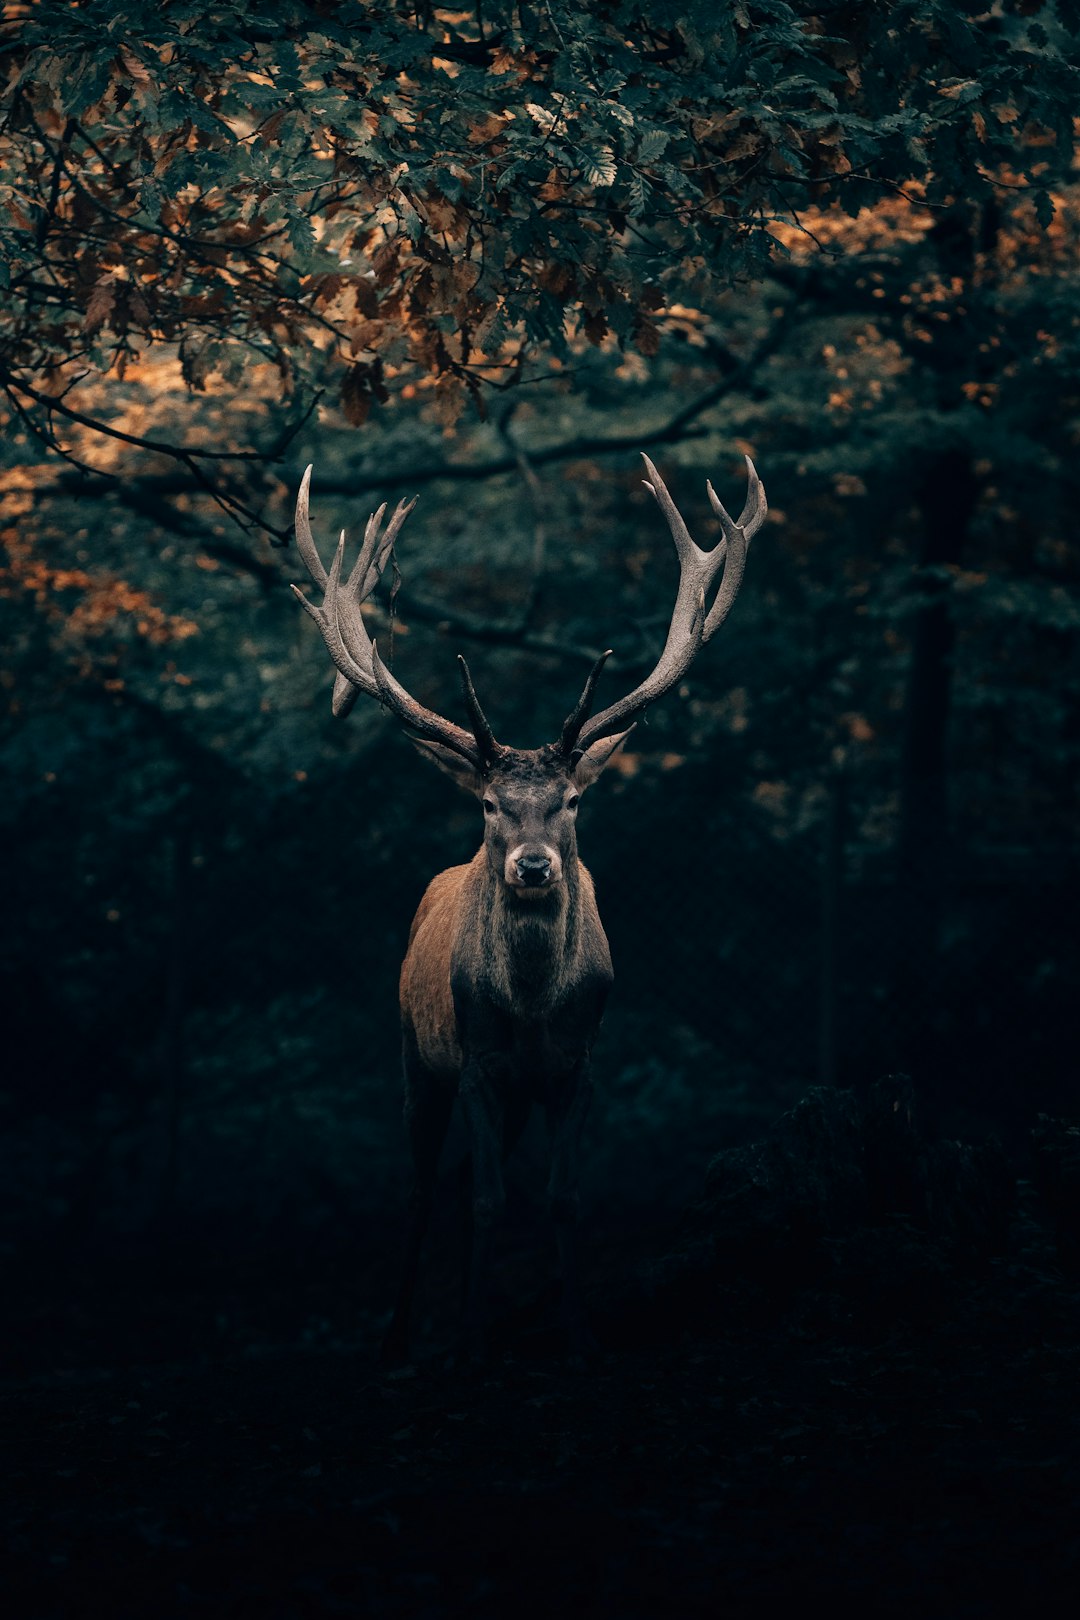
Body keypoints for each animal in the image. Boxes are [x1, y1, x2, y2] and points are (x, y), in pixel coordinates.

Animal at [291, 450, 764, 1360]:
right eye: (488, 804)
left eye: (572, 800)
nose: (534, 866)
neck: (538, 1008)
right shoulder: (479, 1064)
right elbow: (484, 1201)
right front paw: (470, 1338)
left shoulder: (579, 1068)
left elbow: (559, 1198)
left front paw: (575, 1332)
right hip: (415, 1056)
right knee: (424, 1189)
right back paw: (400, 1339)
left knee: (464, 1180)